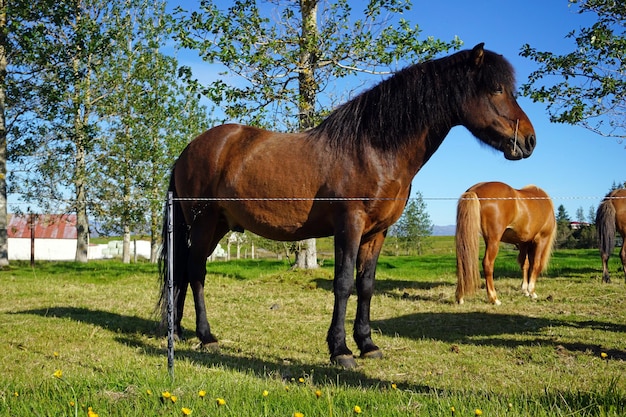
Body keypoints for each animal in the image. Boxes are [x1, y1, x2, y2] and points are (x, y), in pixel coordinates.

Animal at [158, 43, 532, 368]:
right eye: (496, 88)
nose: (529, 140)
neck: (372, 148)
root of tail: (189, 150)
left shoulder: (376, 233)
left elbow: (366, 286)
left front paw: (367, 344)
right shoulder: (349, 225)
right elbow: (343, 283)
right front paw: (340, 350)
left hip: (217, 226)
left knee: (184, 271)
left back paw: (176, 332)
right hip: (203, 224)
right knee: (196, 272)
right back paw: (206, 337)